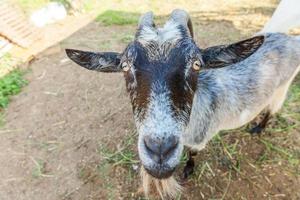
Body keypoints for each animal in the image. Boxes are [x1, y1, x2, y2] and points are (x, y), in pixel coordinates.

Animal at [65, 1, 300, 198]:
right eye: (125, 65)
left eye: (196, 64)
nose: (160, 152)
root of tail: (289, 38)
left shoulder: (200, 138)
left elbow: (192, 154)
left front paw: (188, 169)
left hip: (282, 88)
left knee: (272, 110)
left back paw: (258, 128)